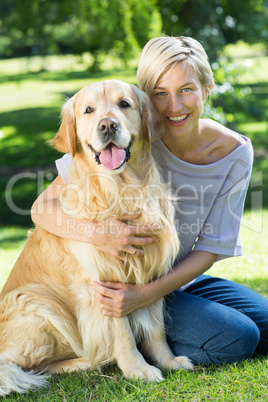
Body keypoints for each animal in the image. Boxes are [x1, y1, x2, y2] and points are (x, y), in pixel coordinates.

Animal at [0, 79, 193, 396]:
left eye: (124, 104)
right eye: (88, 110)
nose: (108, 125)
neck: (122, 191)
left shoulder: (152, 268)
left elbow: (156, 328)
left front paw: (168, 360)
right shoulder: (102, 282)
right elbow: (123, 333)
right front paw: (138, 369)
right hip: (37, 303)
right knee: (18, 366)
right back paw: (84, 362)